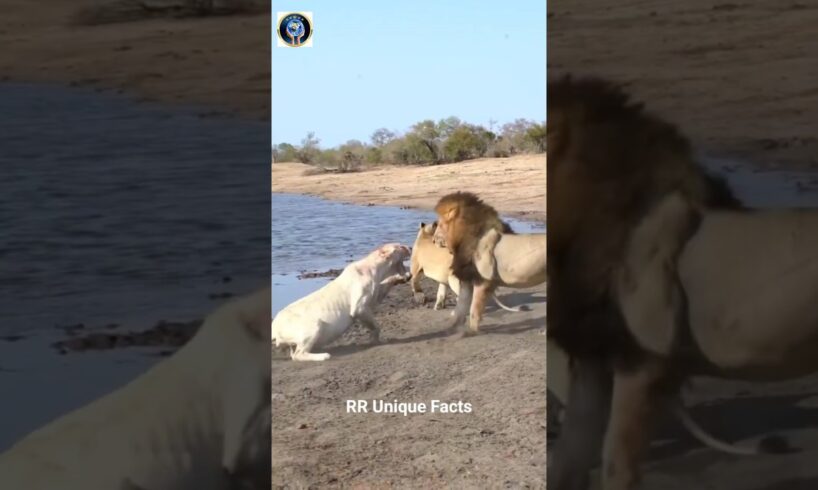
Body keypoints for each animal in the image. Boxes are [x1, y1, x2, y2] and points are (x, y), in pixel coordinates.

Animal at [433, 192, 546, 333]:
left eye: (439, 225)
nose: (433, 240)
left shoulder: (483, 281)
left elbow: (474, 311)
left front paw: (471, 332)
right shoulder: (467, 280)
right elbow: (460, 309)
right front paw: (453, 329)